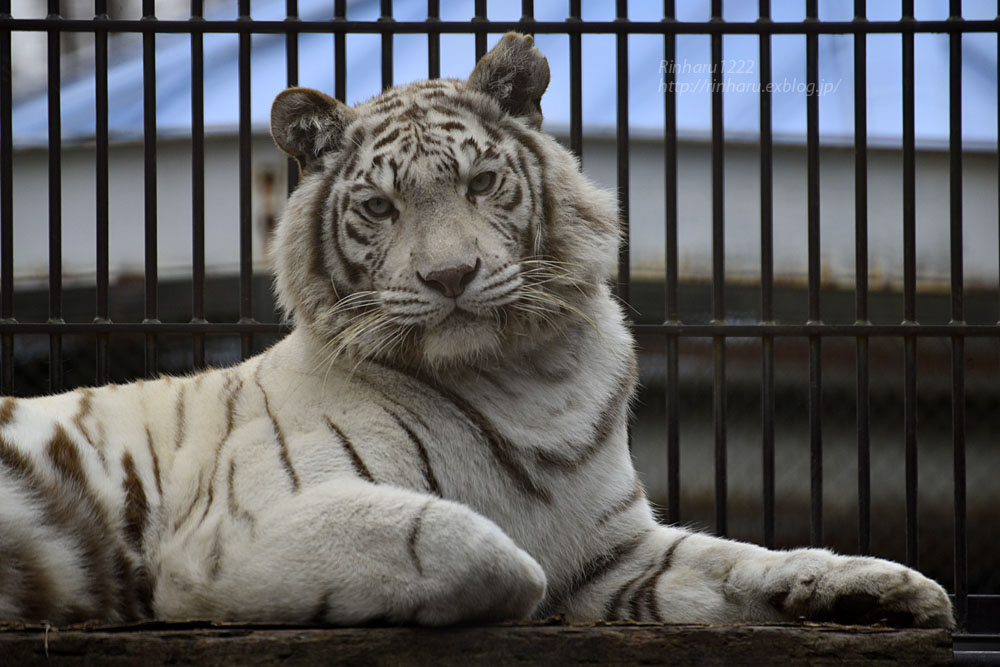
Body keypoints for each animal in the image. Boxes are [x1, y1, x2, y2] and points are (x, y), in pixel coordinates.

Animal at [0, 35, 952, 632]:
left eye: (483, 181)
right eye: (380, 206)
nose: (450, 276)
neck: (530, 377)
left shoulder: (618, 552)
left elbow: (740, 561)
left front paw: (882, 588)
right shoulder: (237, 527)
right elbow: (485, 549)